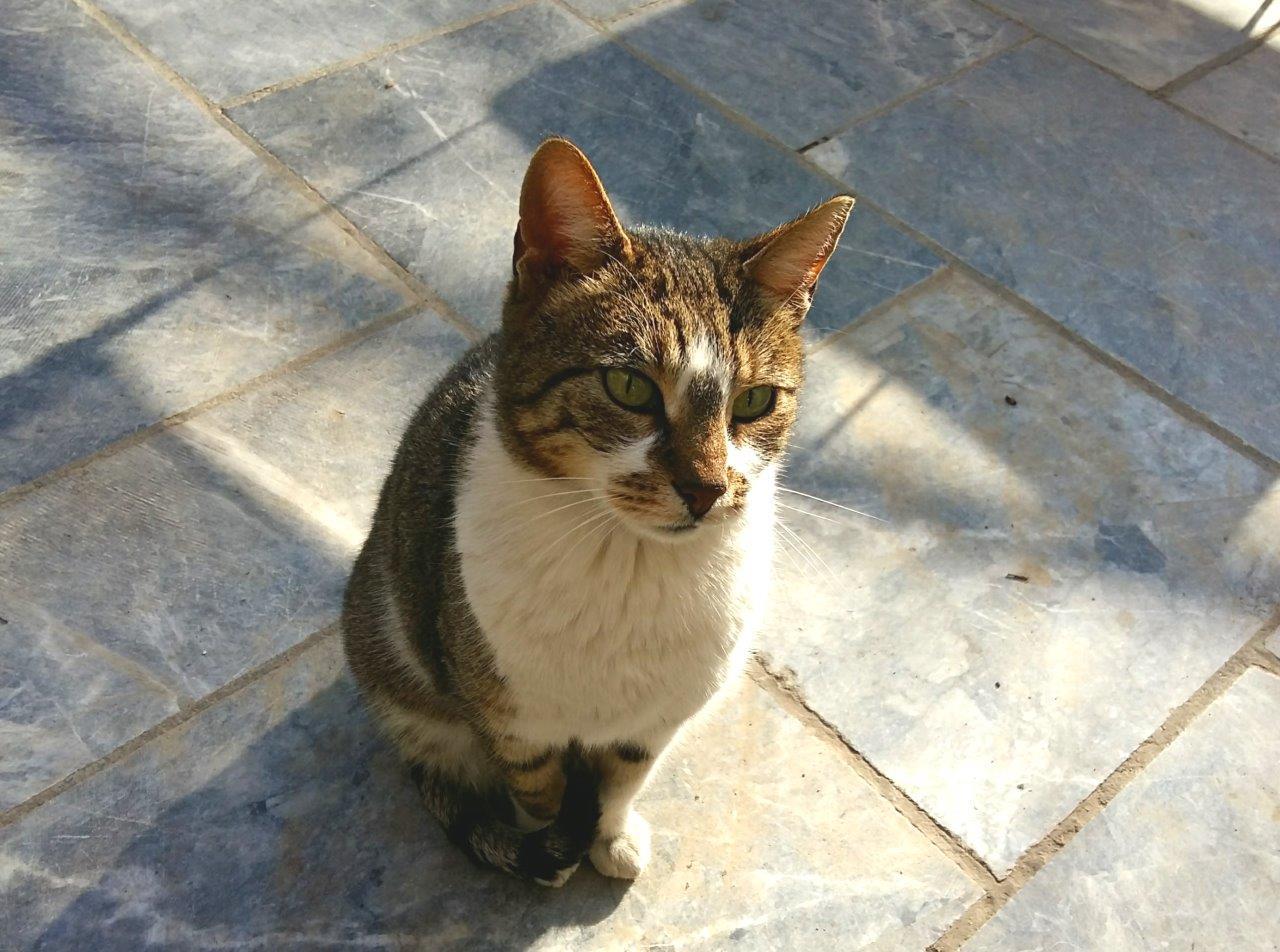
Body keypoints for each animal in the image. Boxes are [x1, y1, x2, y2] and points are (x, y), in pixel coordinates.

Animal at [345, 137, 855, 890]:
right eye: (629, 386)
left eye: (755, 402)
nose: (706, 488)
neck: (627, 566)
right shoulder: (509, 715)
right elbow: (537, 787)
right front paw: (551, 851)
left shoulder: (658, 719)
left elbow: (623, 780)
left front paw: (610, 837)